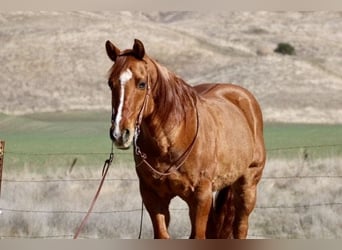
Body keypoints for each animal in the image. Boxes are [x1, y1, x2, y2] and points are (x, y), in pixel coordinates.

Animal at [105, 38, 266, 238]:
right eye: (110, 83)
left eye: (141, 84)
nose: (119, 133)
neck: (171, 141)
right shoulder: (153, 198)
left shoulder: (200, 197)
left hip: (247, 185)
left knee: (241, 227)